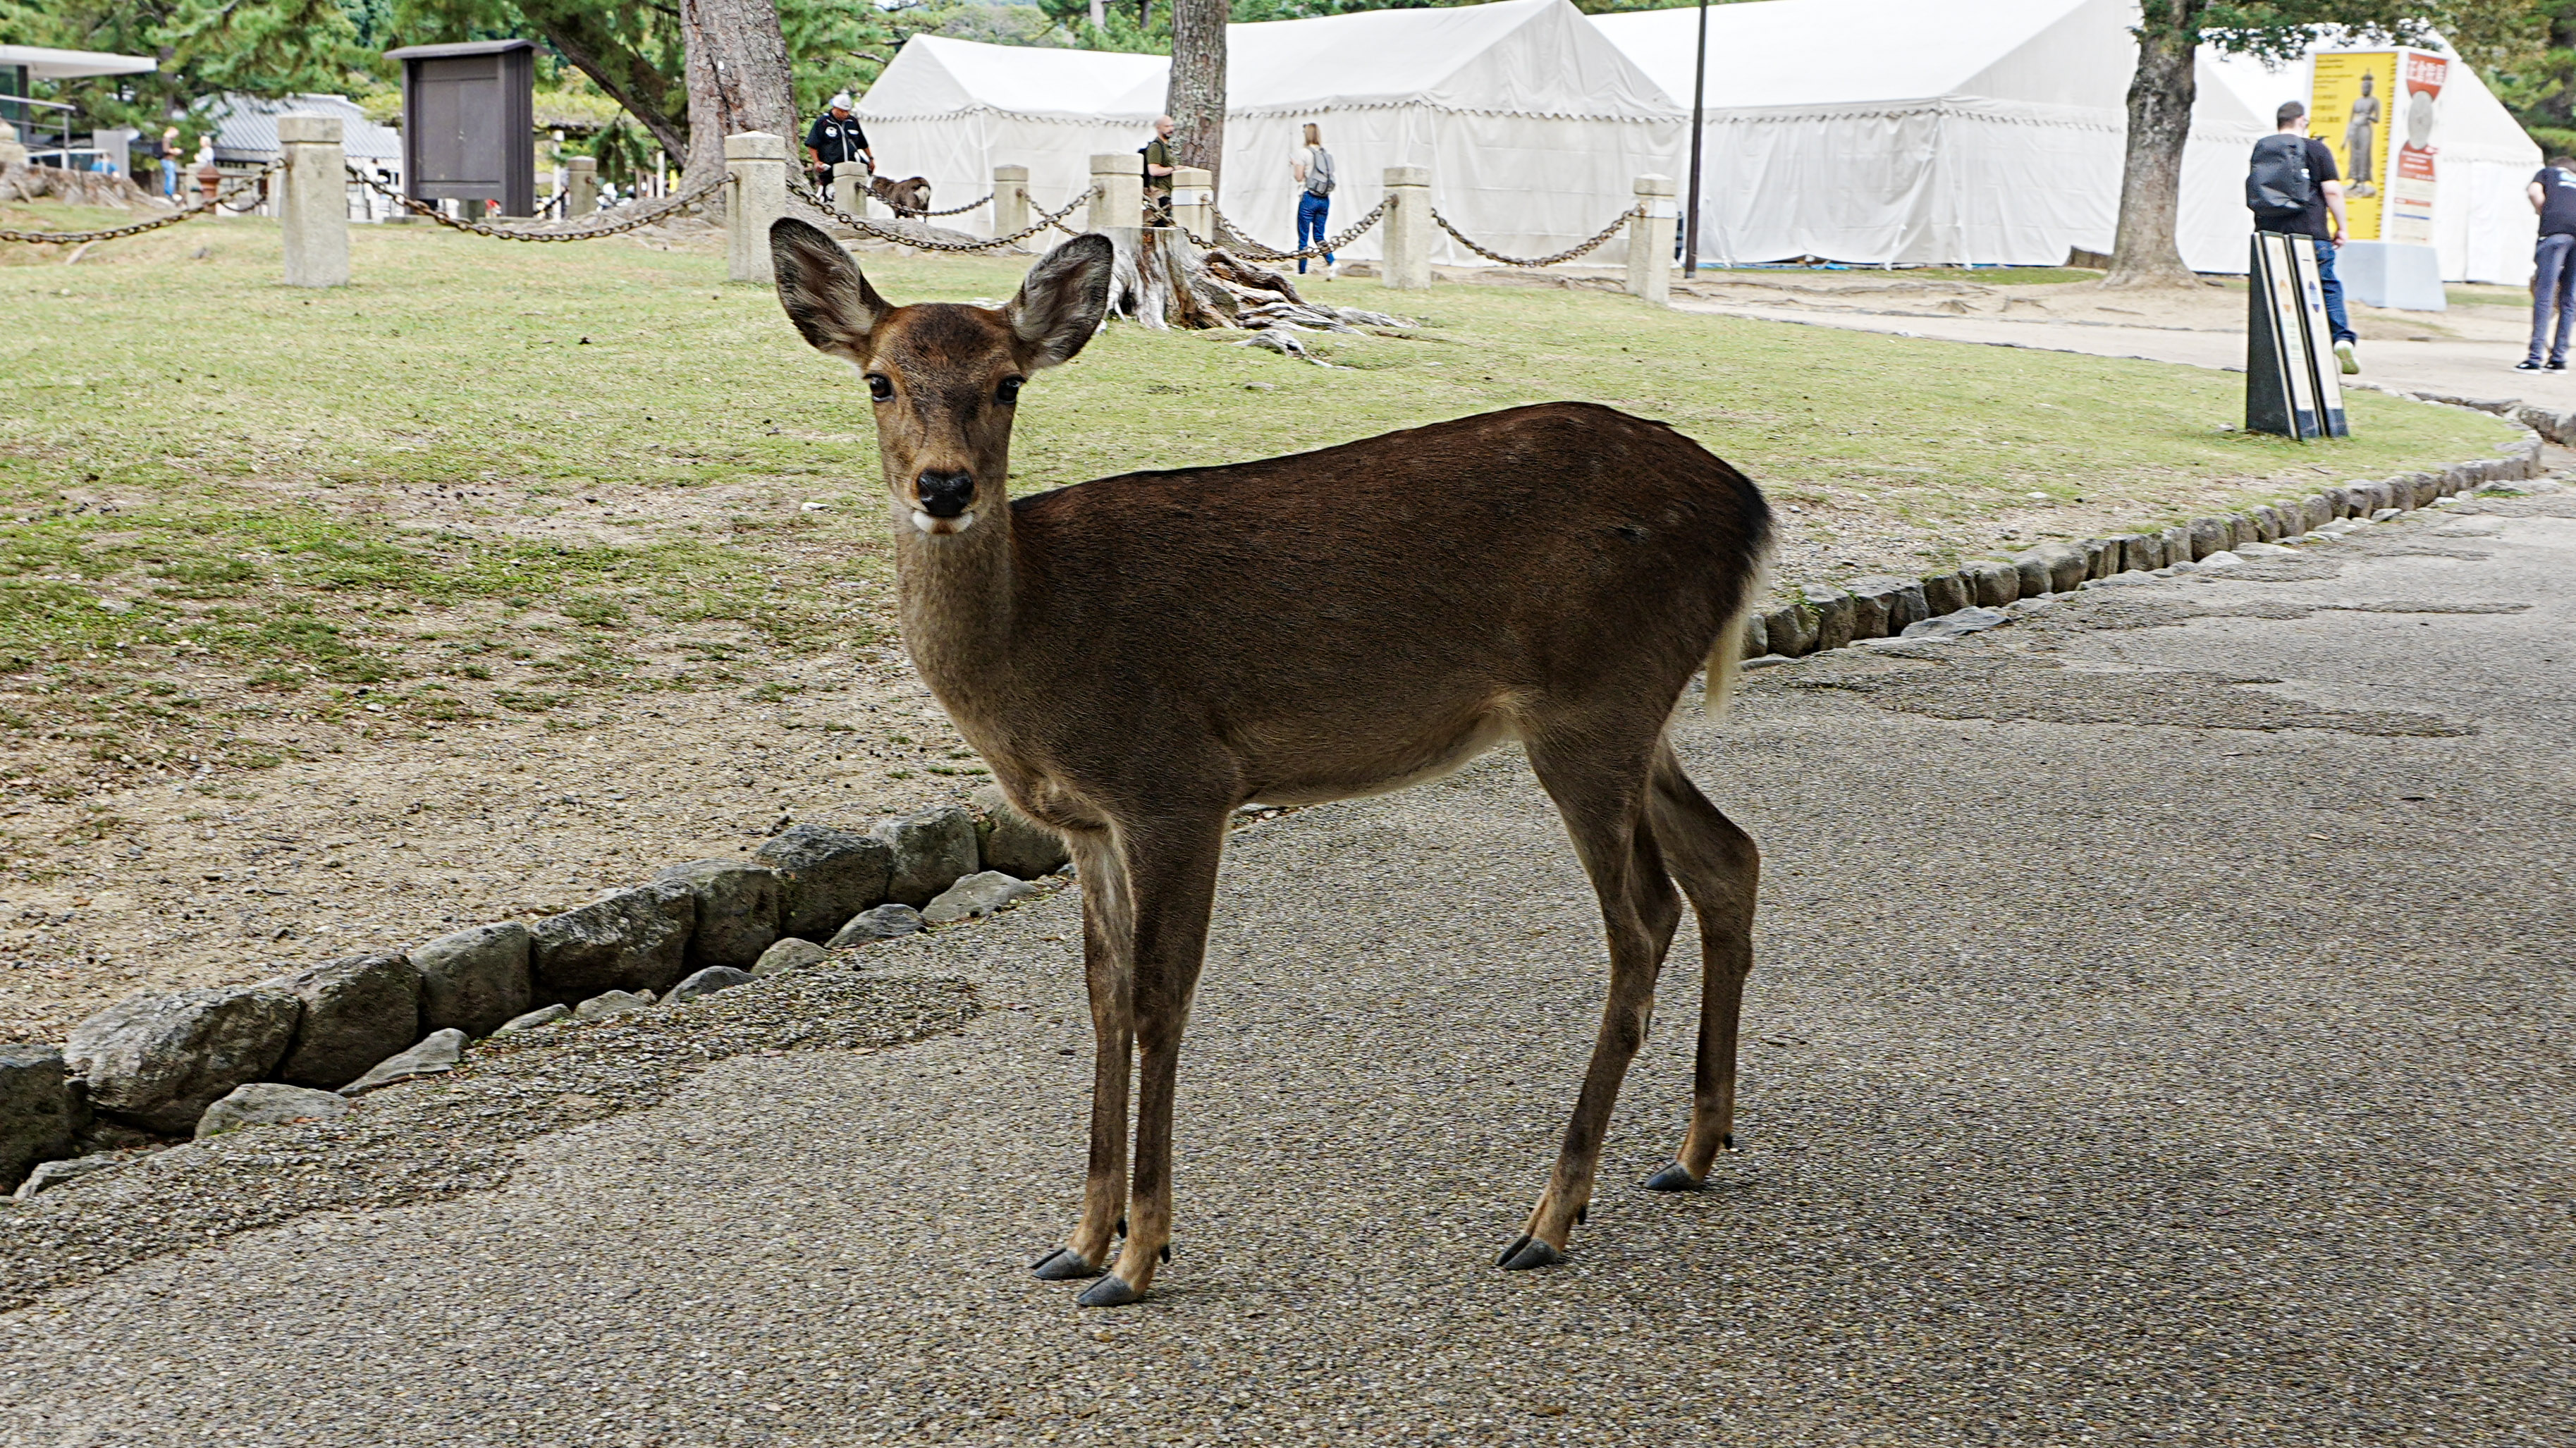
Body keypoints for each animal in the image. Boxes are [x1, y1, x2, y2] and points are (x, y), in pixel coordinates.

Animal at [762, 216, 1772, 1308]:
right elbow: (1103, 995)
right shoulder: (1084, 820)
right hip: (1636, 715)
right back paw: (1692, 1150)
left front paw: (1138, 1256)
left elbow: (1160, 1000)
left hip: (1591, 706)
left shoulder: (1176, 780)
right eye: (878, 379)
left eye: (1007, 384)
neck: (1036, 648)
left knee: (1642, 918)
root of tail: (1752, 509)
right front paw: (1077, 1238)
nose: (944, 486)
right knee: (1728, 856)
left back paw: (1548, 1216)